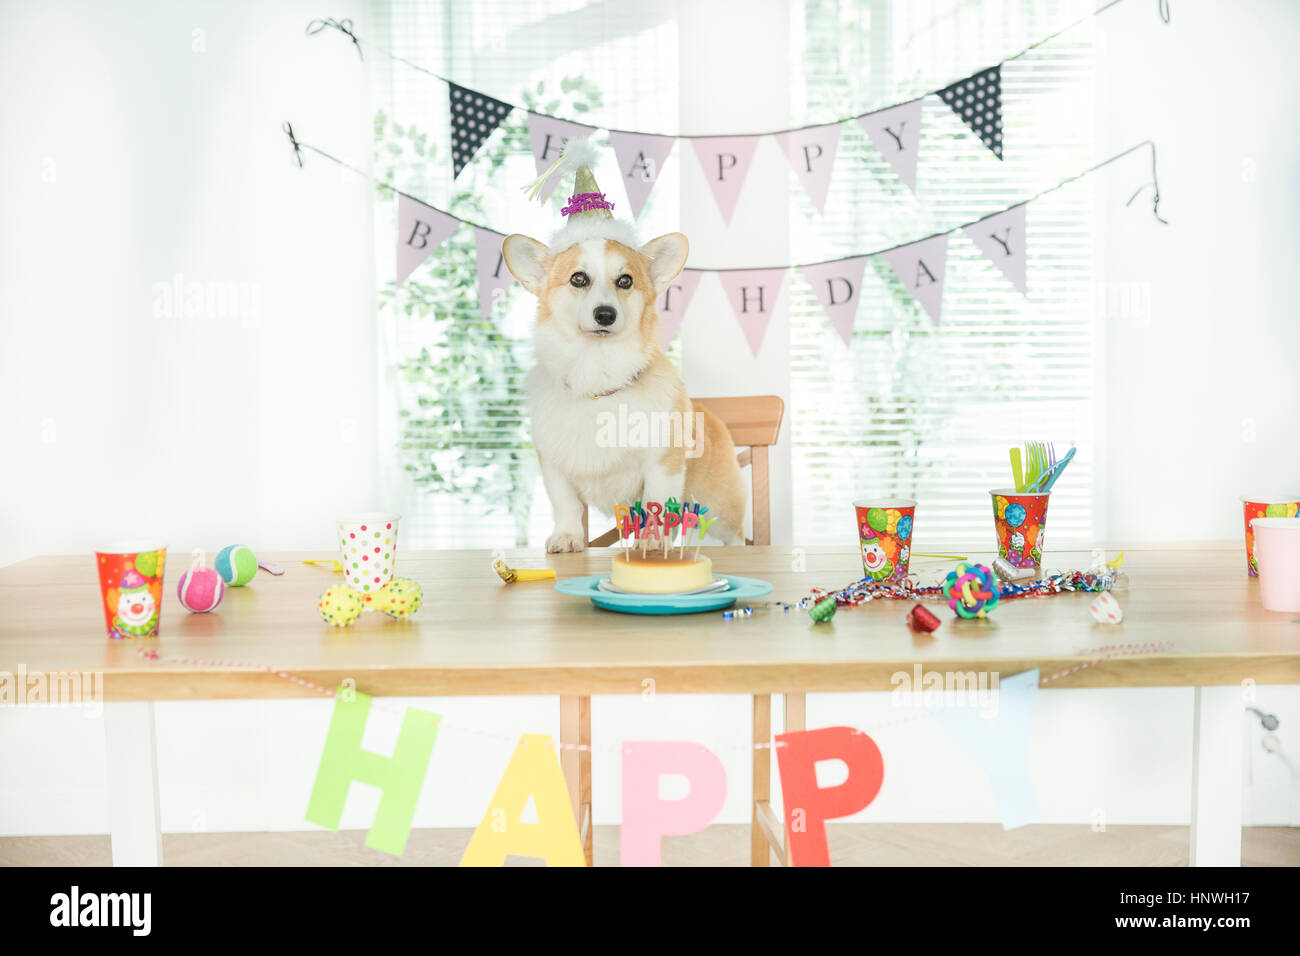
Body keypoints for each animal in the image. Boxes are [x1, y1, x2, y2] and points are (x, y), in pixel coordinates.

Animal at [499, 228, 743, 554]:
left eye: (625, 281)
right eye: (578, 278)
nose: (605, 314)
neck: (597, 377)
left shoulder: (661, 464)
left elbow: (655, 502)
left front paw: (650, 539)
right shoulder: (553, 466)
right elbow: (566, 506)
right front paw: (567, 537)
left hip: (720, 507)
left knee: (735, 533)